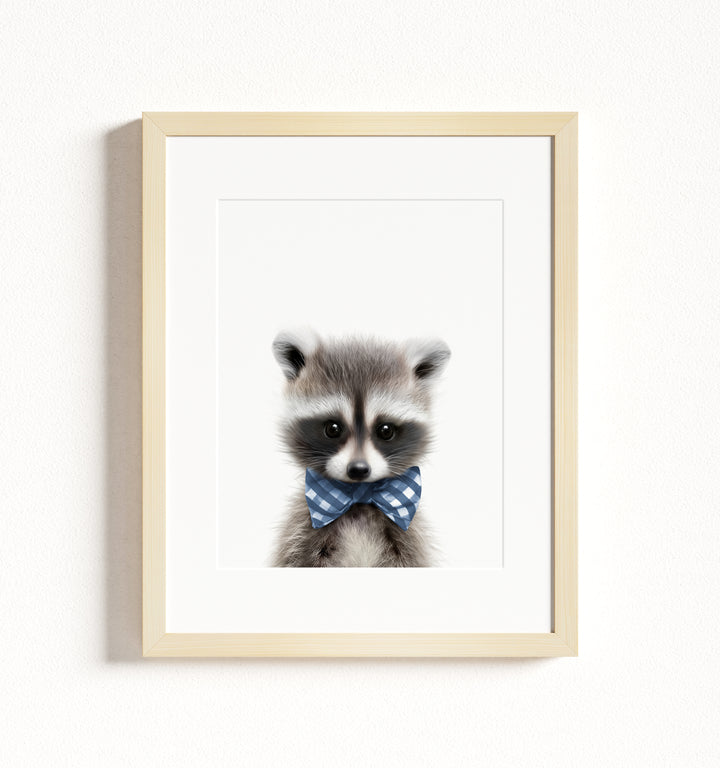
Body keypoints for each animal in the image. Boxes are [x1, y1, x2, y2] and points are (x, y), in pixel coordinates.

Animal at [270, 329, 450, 567]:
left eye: (385, 430)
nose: (358, 469)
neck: (359, 501)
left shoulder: (408, 537)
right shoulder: (301, 532)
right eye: (333, 429)